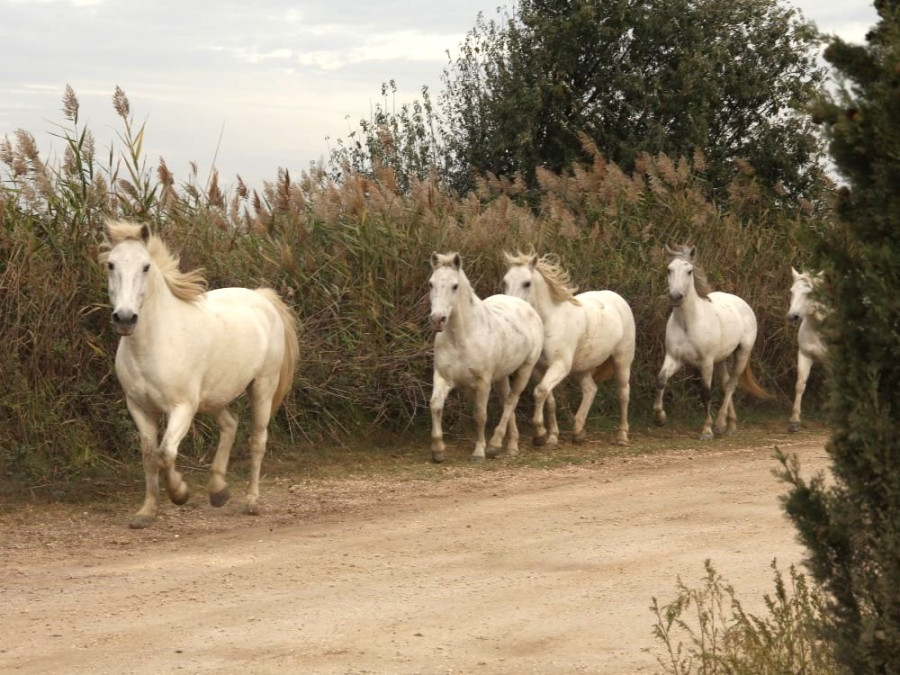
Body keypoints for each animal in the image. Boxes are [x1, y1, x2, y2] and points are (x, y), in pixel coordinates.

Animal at [100, 220, 300, 528]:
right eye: (111, 264)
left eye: (145, 266)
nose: (124, 318)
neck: (153, 343)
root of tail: (262, 298)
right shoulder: (139, 408)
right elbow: (149, 456)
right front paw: (146, 512)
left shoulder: (181, 408)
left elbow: (165, 454)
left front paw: (180, 493)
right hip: (213, 397)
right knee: (230, 424)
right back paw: (218, 491)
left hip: (262, 387)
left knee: (257, 440)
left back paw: (251, 502)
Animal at [428, 254, 540, 464]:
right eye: (431, 284)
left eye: (455, 286)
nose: (438, 319)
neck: (462, 337)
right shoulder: (443, 377)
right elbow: (436, 406)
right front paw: (438, 451)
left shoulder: (483, 382)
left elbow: (480, 415)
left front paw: (479, 452)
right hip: (501, 376)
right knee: (506, 399)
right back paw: (510, 445)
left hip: (525, 369)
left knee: (512, 401)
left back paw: (495, 445)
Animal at [502, 254, 636, 448]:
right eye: (505, 281)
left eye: (527, 283)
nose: (510, 308)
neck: (549, 321)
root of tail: (618, 298)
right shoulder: (539, 369)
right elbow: (549, 399)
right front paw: (551, 437)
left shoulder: (560, 366)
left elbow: (540, 392)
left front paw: (539, 433)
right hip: (582, 368)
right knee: (590, 390)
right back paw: (578, 432)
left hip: (622, 360)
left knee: (623, 393)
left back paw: (622, 436)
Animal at [652, 246, 768, 440]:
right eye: (669, 269)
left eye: (689, 271)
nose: (676, 297)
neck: (688, 323)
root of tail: (743, 304)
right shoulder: (674, 358)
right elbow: (661, 380)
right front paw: (660, 418)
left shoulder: (706, 362)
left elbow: (705, 393)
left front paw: (707, 430)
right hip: (720, 359)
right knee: (726, 383)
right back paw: (731, 425)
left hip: (742, 353)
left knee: (731, 385)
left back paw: (720, 425)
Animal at [784, 268, 828, 434]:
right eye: (791, 291)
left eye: (810, 293)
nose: (792, 316)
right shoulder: (804, 356)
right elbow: (800, 385)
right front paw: (794, 421)